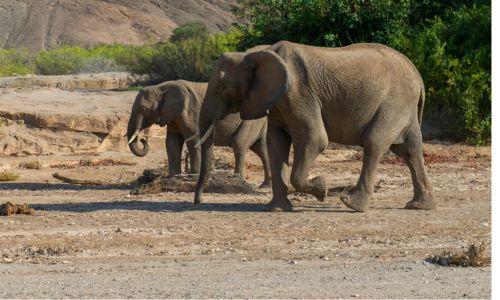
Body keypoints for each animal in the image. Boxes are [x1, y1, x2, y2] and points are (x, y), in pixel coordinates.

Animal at [127, 79, 272, 188]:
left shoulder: (191, 112)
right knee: (263, 149)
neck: (160, 88)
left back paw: (238, 179)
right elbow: (172, 143)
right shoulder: (172, 116)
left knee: (239, 145)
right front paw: (173, 178)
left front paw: (193, 176)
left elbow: (193, 141)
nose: (143, 140)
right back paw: (265, 185)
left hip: (250, 121)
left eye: (144, 109)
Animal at [195, 41, 434, 212]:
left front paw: (322, 188)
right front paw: (276, 209)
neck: (258, 53)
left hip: (394, 103)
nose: (198, 202)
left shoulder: (298, 94)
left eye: (223, 87)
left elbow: (315, 140)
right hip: (403, 108)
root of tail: (419, 77)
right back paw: (419, 206)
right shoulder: (278, 101)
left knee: (374, 142)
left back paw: (351, 203)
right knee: (409, 149)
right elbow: (276, 145)